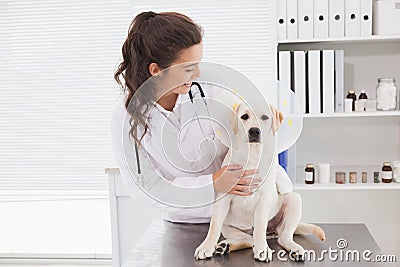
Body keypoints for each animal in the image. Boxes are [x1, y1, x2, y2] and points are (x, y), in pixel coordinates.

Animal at [195, 102, 324, 262]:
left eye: (264, 117)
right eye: (244, 116)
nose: (254, 131)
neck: (253, 155)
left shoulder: (265, 197)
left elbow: (261, 224)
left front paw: (262, 249)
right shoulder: (223, 196)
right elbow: (214, 225)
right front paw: (206, 246)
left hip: (294, 200)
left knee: (281, 237)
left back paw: (294, 249)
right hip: (229, 227)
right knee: (248, 240)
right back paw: (224, 246)